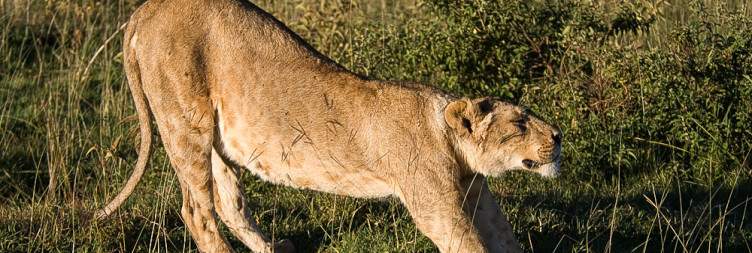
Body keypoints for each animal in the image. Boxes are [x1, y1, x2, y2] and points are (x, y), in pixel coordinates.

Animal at [92, 0, 560, 253]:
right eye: (520, 123)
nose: (558, 137)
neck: (446, 134)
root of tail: (144, 10)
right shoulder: (434, 200)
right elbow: (465, 242)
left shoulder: (477, 192)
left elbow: (503, 239)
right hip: (184, 122)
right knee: (197, 211)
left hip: (214, 137)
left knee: (229, 203)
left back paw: (272, 248)